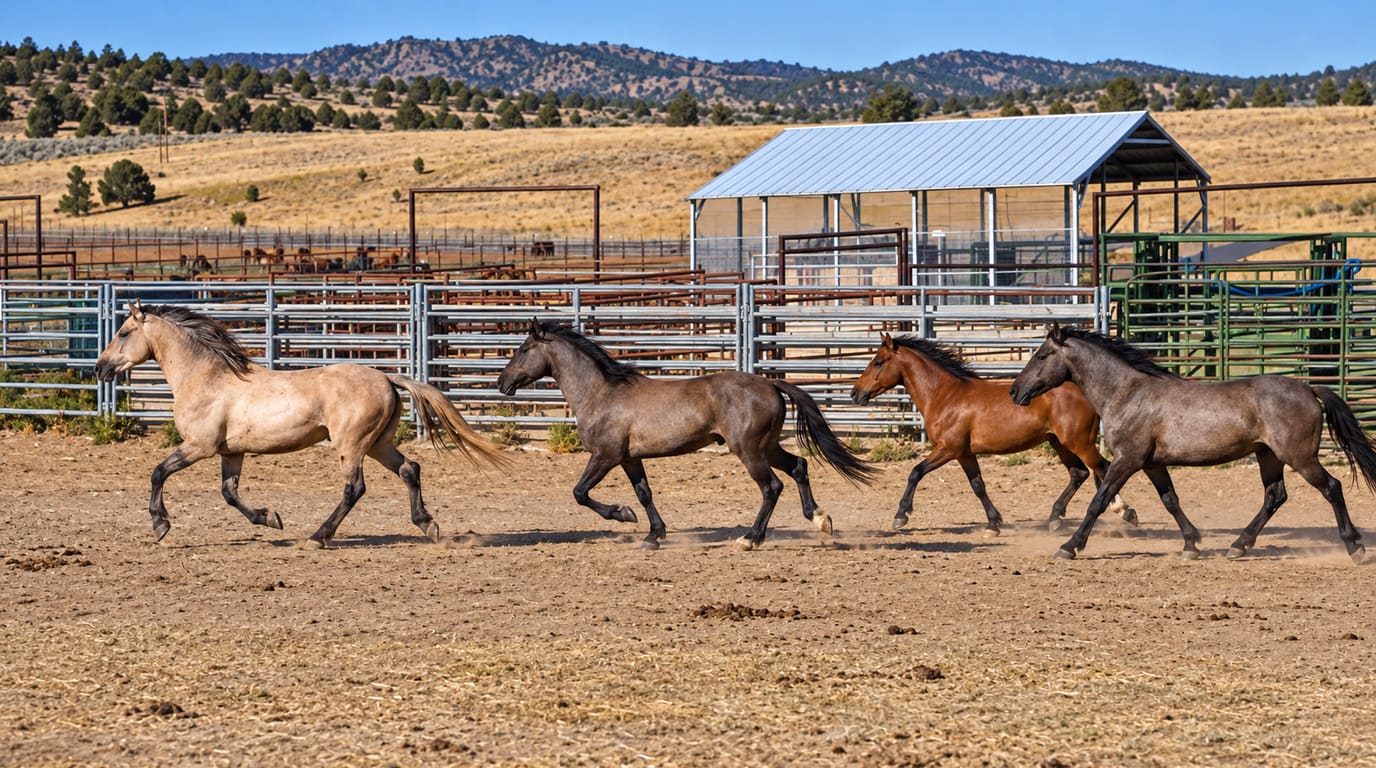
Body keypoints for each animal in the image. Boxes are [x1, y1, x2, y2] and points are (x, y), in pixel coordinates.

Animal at [94, 301, 507, 546]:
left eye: (124, 333)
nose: (100, 369)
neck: (207, 378)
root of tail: (386, 378)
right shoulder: (231, 452)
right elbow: (229, 493)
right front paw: (270, 518)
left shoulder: (199, 446)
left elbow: (158, 473)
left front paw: (160, 524)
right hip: (378, 444)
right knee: (410, 469)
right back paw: (428, 524)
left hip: (352, 446)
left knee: (354, 489)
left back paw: (319, 535)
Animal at [495, 320, 876, 550]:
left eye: (523, 349)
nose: (502, 382)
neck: (600, 393)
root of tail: (770, 384)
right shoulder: (630, 459)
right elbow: (644, 494)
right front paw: (653, 535)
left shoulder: (605, 456)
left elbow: (579, 492)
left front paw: (623, 514)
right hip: (767, 447)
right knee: (798, 467)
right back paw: (820, 519)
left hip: (749, 450)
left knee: (772, 487)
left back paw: (750, 538)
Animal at [850, 333, 1132, 534]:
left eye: (878, 362)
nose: (855, 393)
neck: (944, 396)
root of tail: (1086, 393)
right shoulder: (964, 454)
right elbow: (978, 486)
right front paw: (994, 523)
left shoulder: (948, 449)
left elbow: (915, 472)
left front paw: (901, 515)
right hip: (1059, 443)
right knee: (1079, 473)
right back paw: (1055, 518)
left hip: (1079, 443)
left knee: (1103, 469)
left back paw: (1125, 511)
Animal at [1010, 322, 1376, 563]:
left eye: (1041, 356)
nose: (1015, 391)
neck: (1126, 393)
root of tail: (1310, 390)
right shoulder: (1152, 463)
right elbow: (1170, 500)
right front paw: (1191, 544)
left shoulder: (1127, 460)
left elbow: (1098, 501)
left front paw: (1069, 546)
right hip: (1268, 455)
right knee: (1275, 496)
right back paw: (1238, 545)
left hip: (1299, 456)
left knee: (1331, 487)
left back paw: (1355, 547)